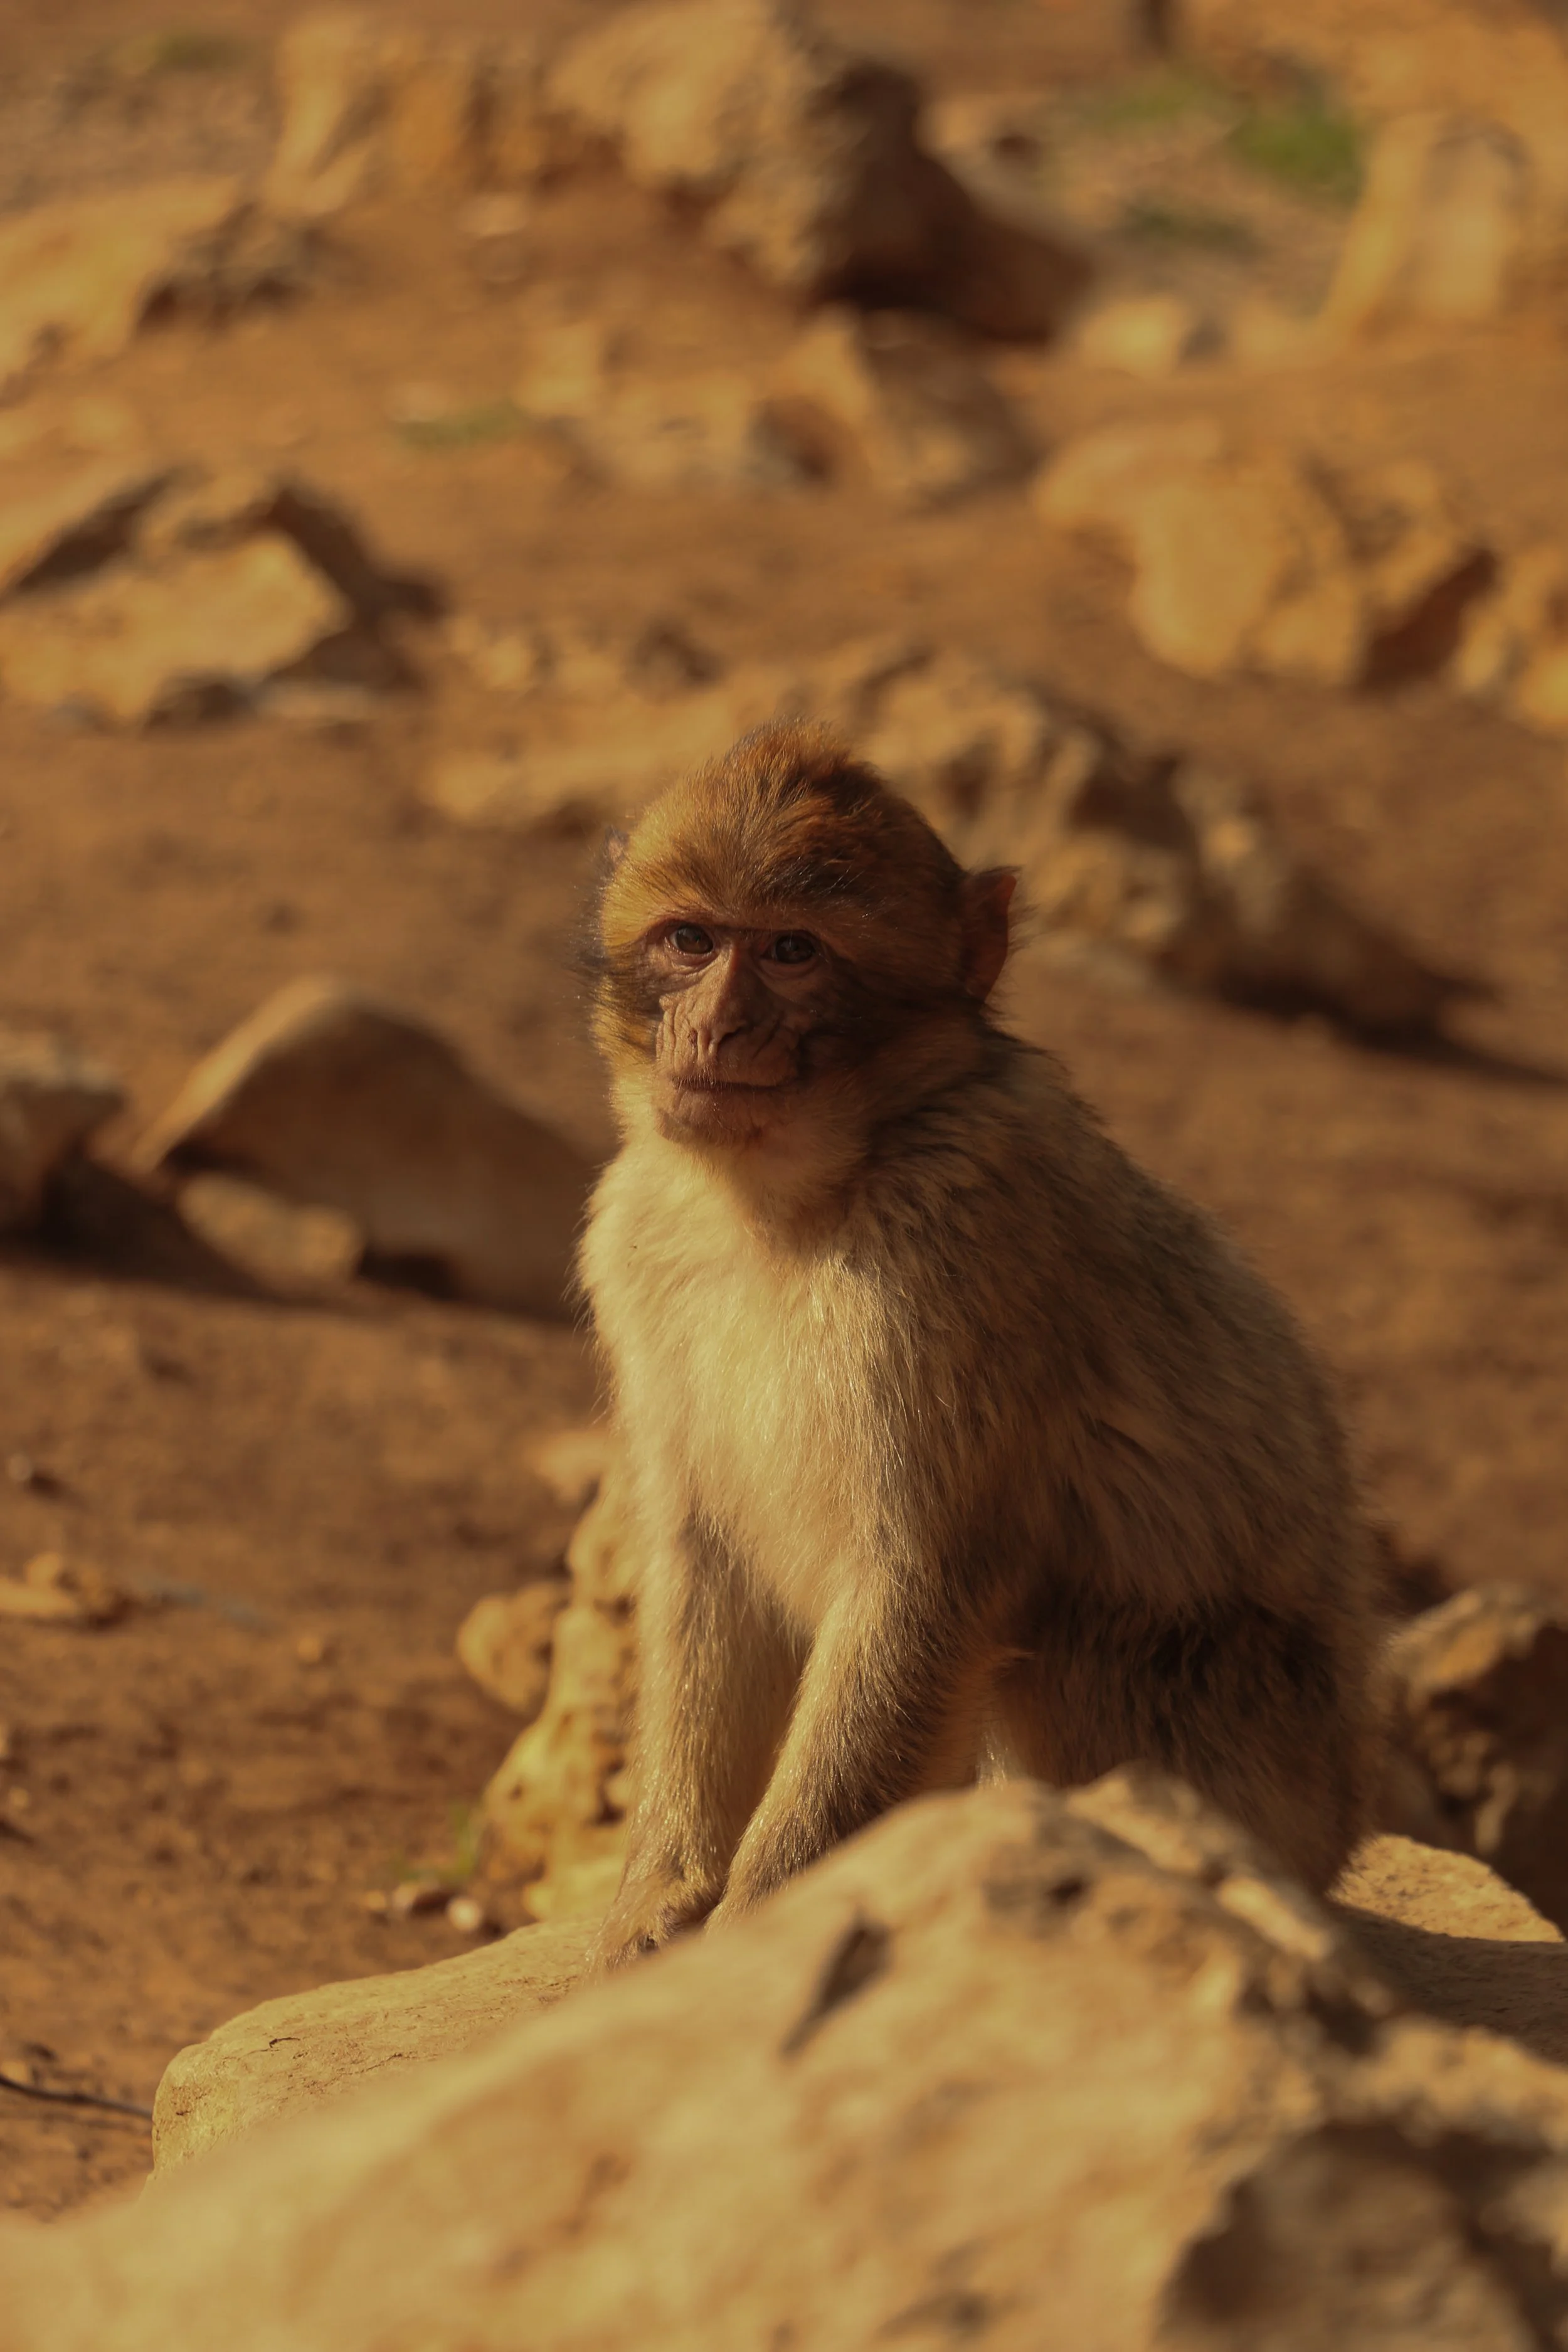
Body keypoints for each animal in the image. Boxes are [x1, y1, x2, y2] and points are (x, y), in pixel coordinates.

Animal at [578, 721, 1384, 1970]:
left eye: (793, 950)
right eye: (690, 940)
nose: (710, 1028)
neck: (789, 1197)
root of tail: (1331, 1843)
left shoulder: (959, 1246)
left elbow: (928, 1584)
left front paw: (760, 1936)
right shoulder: (636, 1239)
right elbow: (704, 1562)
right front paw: (659, 1906)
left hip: (1245, 1759)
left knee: (1047, 1633)